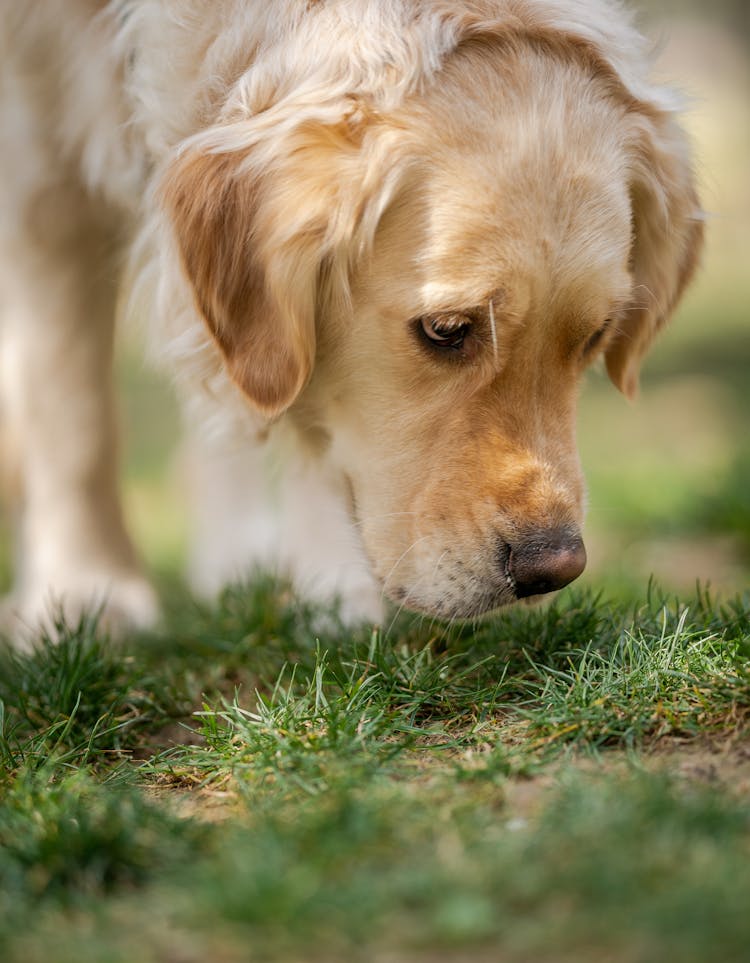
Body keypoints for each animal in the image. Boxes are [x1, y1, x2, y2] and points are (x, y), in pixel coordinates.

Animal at [0, 1, 704, 640]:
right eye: (447, 330)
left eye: (595, 338)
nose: (551, 569)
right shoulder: (36, 152)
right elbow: (74, 416)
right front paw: (85, 593)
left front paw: (331, 589)